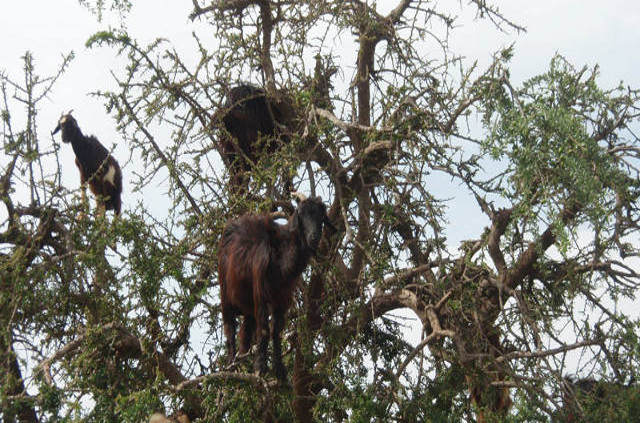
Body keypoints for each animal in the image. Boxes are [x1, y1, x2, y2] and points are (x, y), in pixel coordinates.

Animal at [218, 192, 336, 380]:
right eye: (301, 214)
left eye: (321, 217)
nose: (314, 237)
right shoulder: (261, 294)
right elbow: (265, 330)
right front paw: (261, 368)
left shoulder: (283, 299)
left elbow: (276, 331)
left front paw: (279, 370)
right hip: (225, 293)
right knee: (229, 327)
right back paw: (232, 365)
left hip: (248, 305)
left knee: (245, 331)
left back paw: (244, 362)